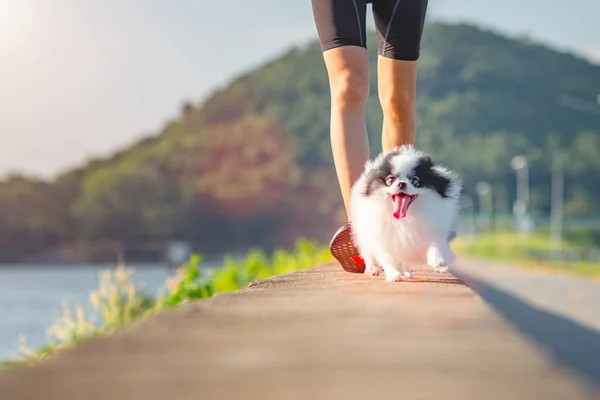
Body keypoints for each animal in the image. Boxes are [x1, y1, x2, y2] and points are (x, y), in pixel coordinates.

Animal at [350, 145, 462, 282]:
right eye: (390, 180)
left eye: (415, 180)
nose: (402, 183)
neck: (406, 217)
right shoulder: (383, 238)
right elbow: (388, 259)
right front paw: (395, 275)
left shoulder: (434, 228)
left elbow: (436, 243)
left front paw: (437, 261)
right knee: (368, 252)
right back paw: (373, 269)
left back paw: (407, 272)